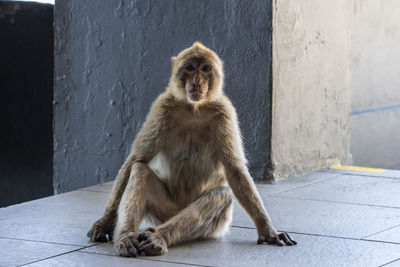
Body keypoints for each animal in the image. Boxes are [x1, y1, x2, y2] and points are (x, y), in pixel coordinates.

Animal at [87, 42, 296, 258]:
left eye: (205, 69)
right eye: (189, 68)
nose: (196, 82)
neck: (194, 108)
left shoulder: (225, 111)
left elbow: (235, 170)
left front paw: (268, 230)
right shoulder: (162, 107)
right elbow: (136, 159)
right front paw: (105, 222)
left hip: (210, 226)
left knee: (222, 194)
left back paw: (159, 237)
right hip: (164, 211)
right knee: (140, 170)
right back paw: (127, 237)